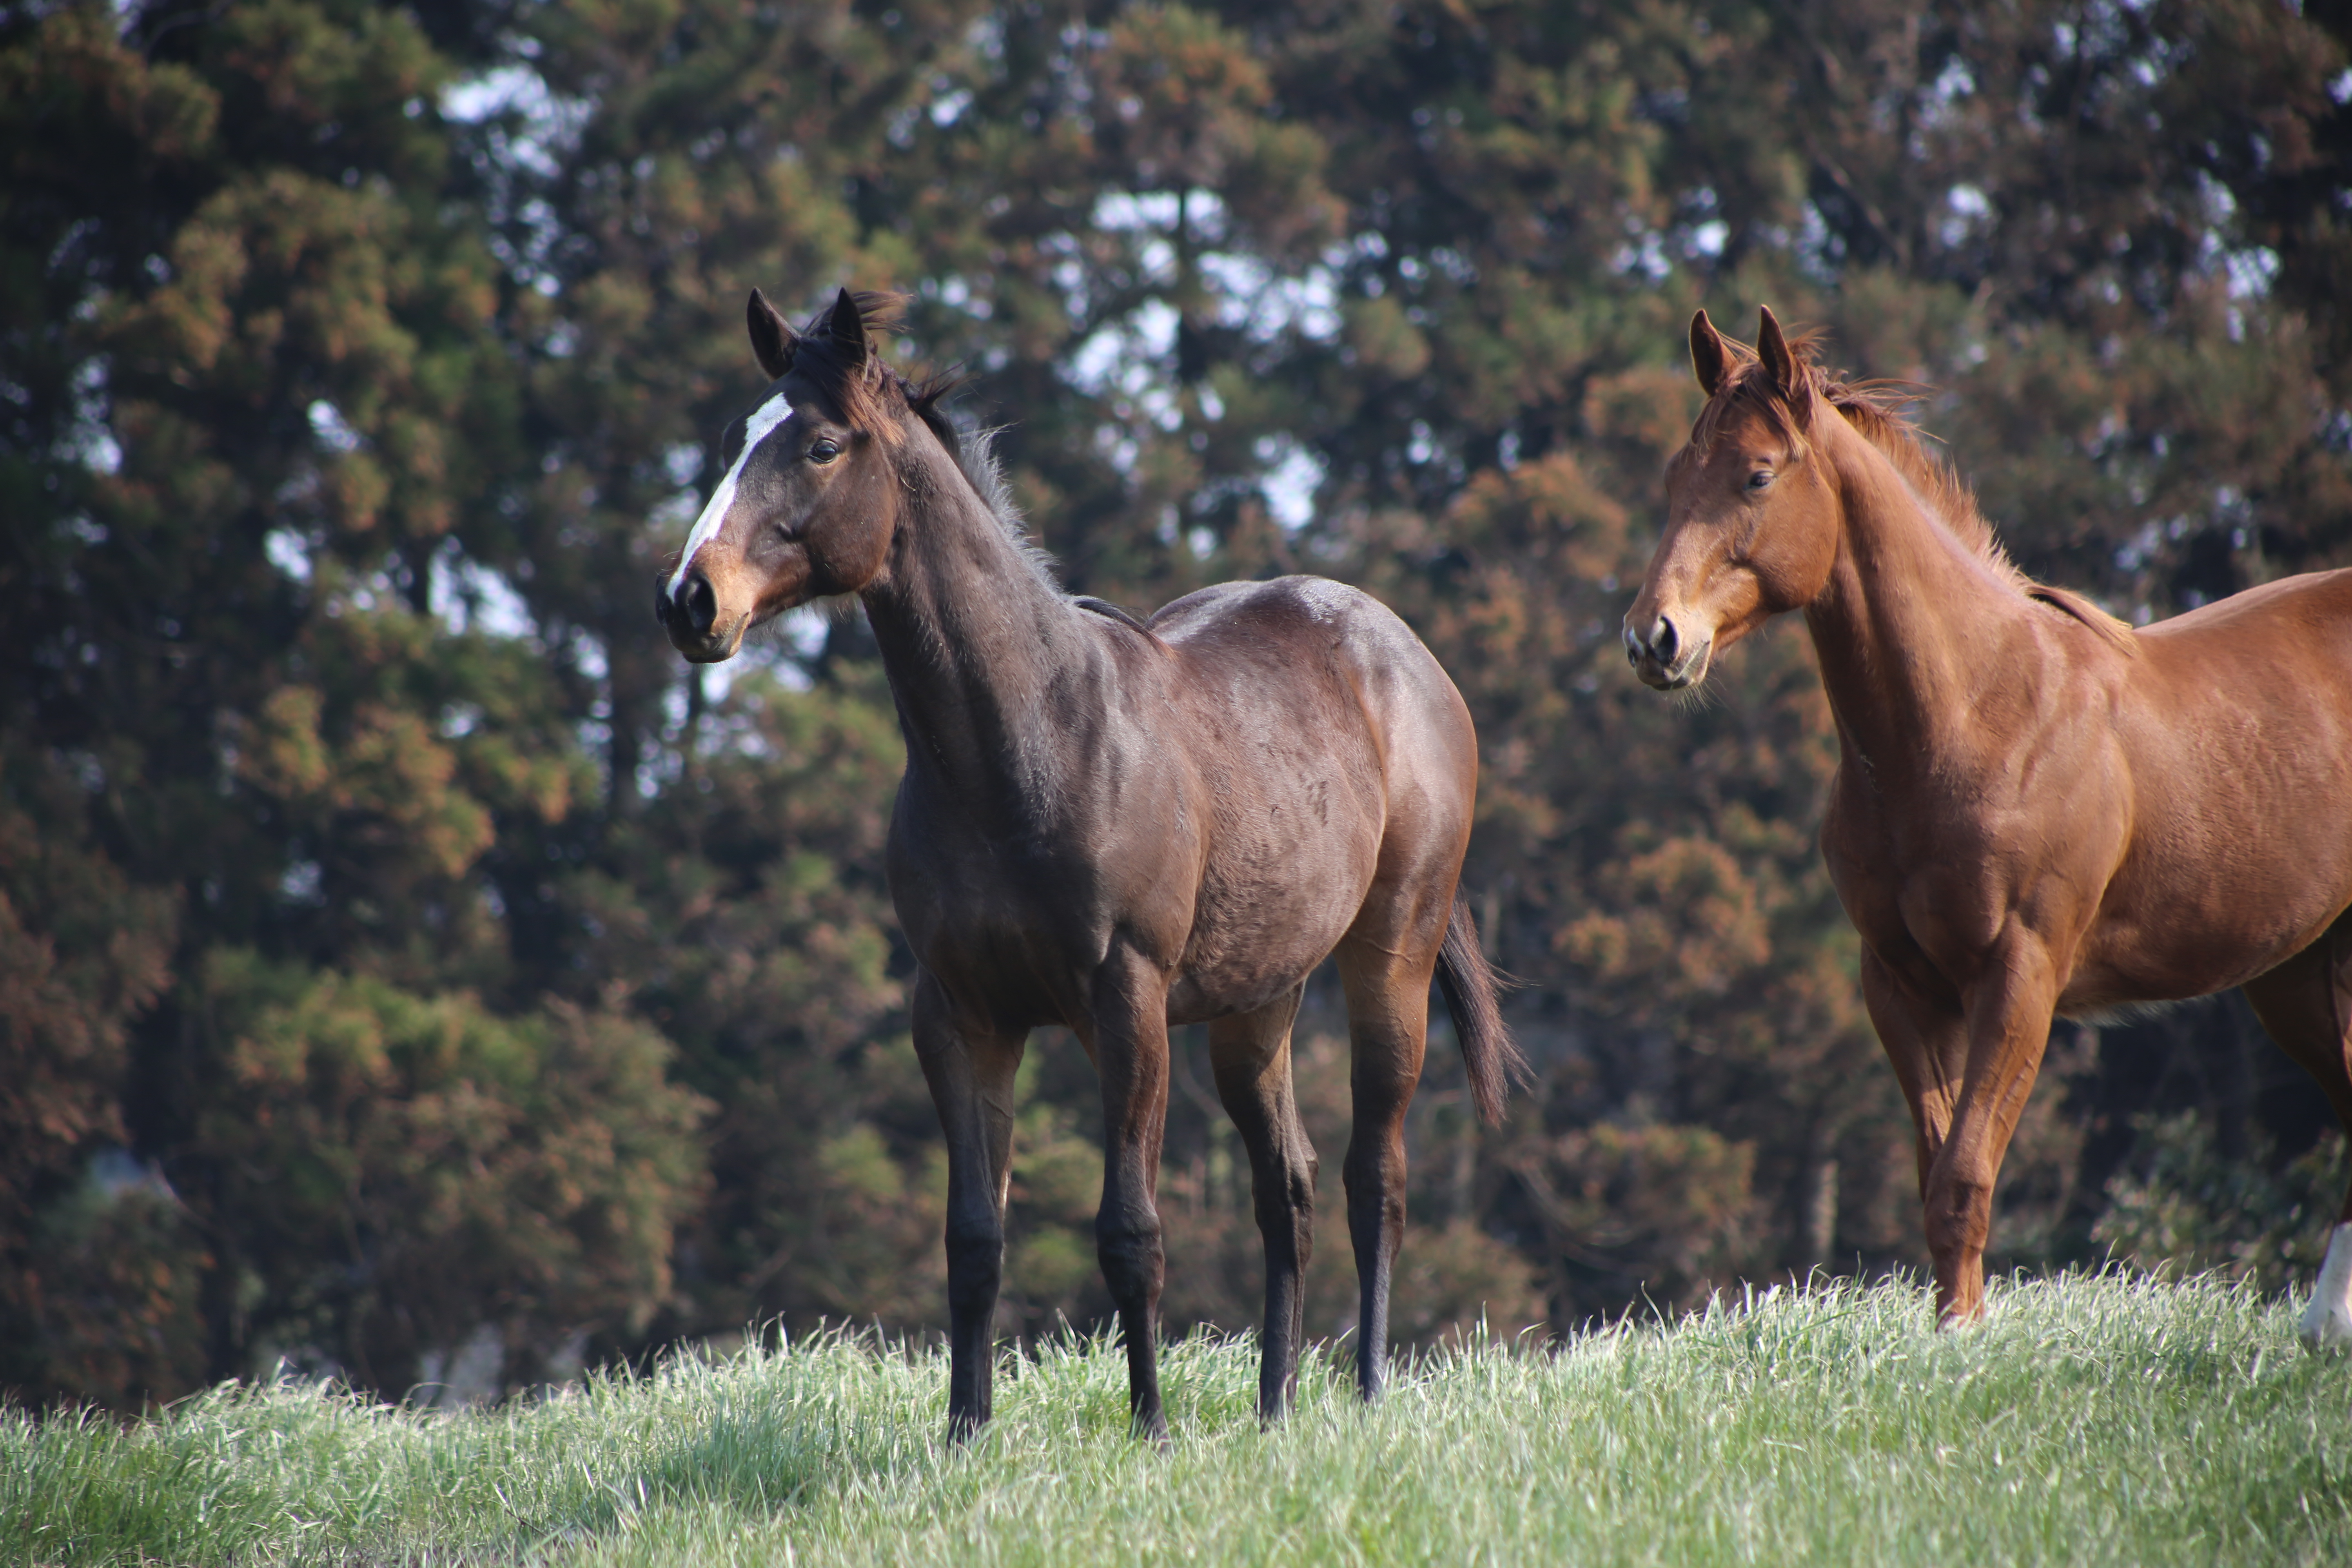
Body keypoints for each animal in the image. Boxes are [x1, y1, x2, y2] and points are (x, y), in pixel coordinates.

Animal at [658, 288, 1524, 1439]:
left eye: (820, 445)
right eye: (732, 440)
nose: (689, 600)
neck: (1029, 743)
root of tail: (1404, 653)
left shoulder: (1128, 1002)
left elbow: (1129, 1230)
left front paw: (1149, 1429)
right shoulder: (959, 1014)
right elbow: (974, 1241)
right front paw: (963, 1434)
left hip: (1391, 954)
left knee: (1369, 1173)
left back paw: (1369, 1392)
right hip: (1259, 1004)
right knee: (1285, 1187)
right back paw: (1273, 1412)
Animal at [1627, 305, 2352, 1354]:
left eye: (1756, 474)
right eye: (1675, 476)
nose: (1654, 640)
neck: (1978, 713)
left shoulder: (2019, 977)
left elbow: (1965, 1177)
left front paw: (1963, 1349)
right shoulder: (1898, 983)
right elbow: (1935, 1170)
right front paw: (1946, 1336)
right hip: (2297, 972)